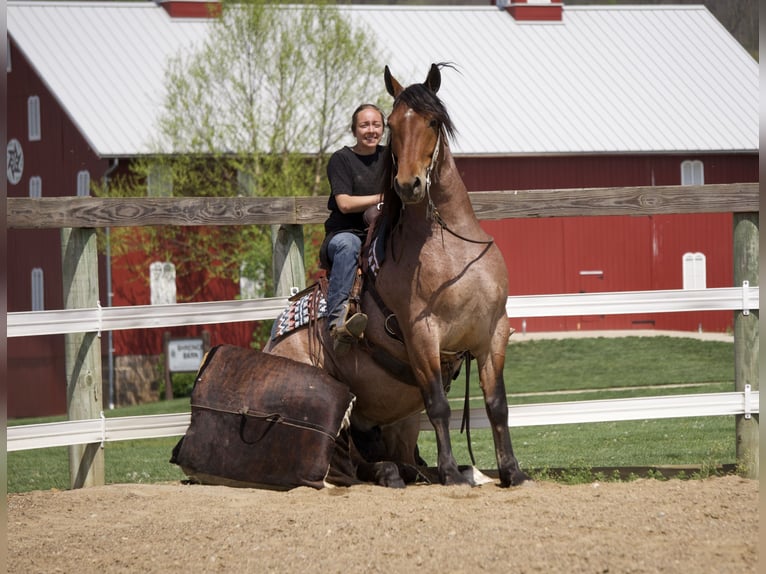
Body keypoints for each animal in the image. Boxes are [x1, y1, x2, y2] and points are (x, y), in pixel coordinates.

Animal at [265, 63, 527, 488]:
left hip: (396, 421)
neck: (449, 247)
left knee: (384, 455)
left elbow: (496, 404)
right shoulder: (422, 334)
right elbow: (438, 405)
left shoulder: (493, 331)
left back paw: (412, 471)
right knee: (341, 461)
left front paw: (511, 471)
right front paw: (452, 472)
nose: (408, 184)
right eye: (391, 124)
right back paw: (392, 472)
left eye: (433, 120)